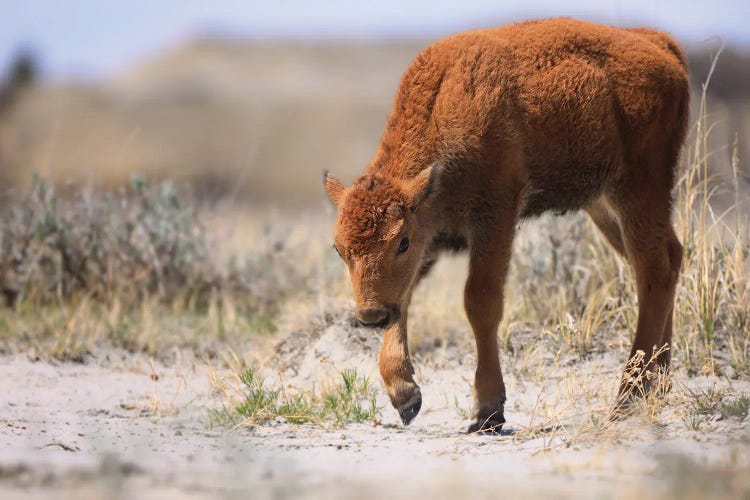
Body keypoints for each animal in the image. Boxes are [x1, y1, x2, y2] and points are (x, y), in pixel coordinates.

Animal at [326, 18, 692, 434]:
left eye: (401, 242)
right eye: (339, 250)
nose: (370, 316)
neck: (442, 108)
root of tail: (659, 45)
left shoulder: (495, 218)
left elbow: (480, 301)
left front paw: (487, 410)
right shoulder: (429, 241)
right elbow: (404, 297)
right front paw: (405, 395)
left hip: (638, 191)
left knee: (654, 270)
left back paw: (629, 397)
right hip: (603, 205)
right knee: (667, 260)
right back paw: (658, 385)